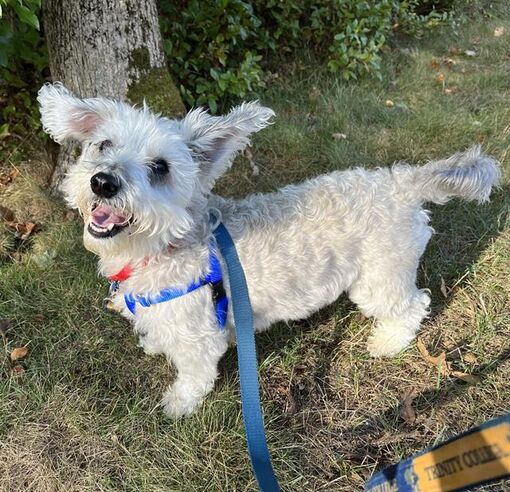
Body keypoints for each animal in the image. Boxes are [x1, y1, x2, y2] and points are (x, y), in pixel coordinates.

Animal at [37, 82, 500, 418]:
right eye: (103, 145)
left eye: (160, 168)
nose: (103, 181)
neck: (167, 243)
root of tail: (401, 181)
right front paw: (152, 344)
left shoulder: (200, 339)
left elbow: (193, 377)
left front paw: (178, 405)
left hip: (379, 281)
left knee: (413, 304)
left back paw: (388, 342)